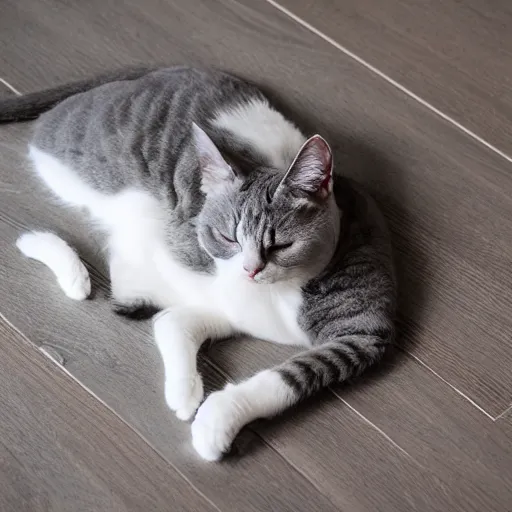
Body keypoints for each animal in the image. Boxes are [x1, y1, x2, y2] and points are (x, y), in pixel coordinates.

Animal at [0, 66, 396, 462]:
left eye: (282, 244)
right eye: (228, 238)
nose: (250, 269)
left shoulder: (364, 335)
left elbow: (290, 372)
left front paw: (212, 416)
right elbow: (175, 316)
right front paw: (197, 405)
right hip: (119, 197)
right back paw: (59, 261)